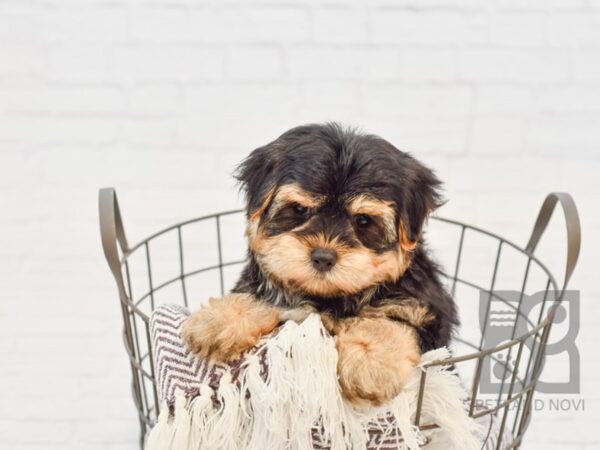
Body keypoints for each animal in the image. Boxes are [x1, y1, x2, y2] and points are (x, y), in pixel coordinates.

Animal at [180, 122, 458, 404]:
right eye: (300, 209)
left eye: (363, 221)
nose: (323, 257)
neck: (328, 297)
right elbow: (261, 295)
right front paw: (219, 319)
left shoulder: (423, 310)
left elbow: (391, 322)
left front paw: (370, 361)